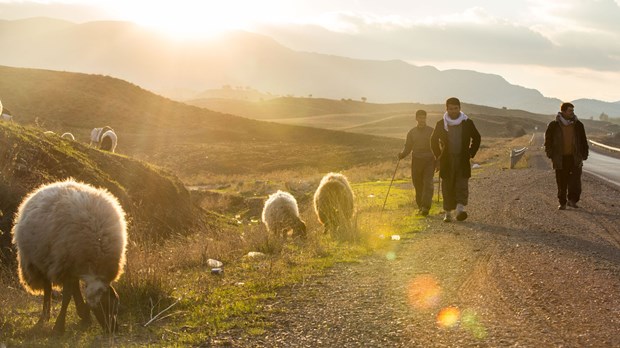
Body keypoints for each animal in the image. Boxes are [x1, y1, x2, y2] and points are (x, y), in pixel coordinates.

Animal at [11, 179, 128, 334]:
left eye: (115, 307)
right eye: (103, 306)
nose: (114, 329)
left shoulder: (71, 265)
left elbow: (72, 290)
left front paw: (84, 314)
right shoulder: (65, 265)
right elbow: (66, 296)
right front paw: (59, 327)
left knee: (73, 286)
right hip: (42, 260)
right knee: (48, 287)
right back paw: (45, 316)